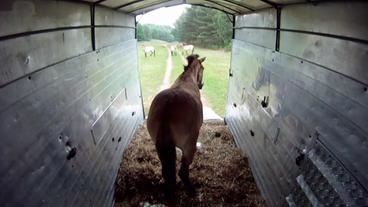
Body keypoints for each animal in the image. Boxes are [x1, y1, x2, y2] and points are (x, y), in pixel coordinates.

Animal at [147, 54, 206, 196]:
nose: (201, 84)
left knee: (167, 172)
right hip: (189, 147)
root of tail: (167, 111)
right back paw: (192, 190)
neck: (187, 78)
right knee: (182, 172)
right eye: (203, 68)